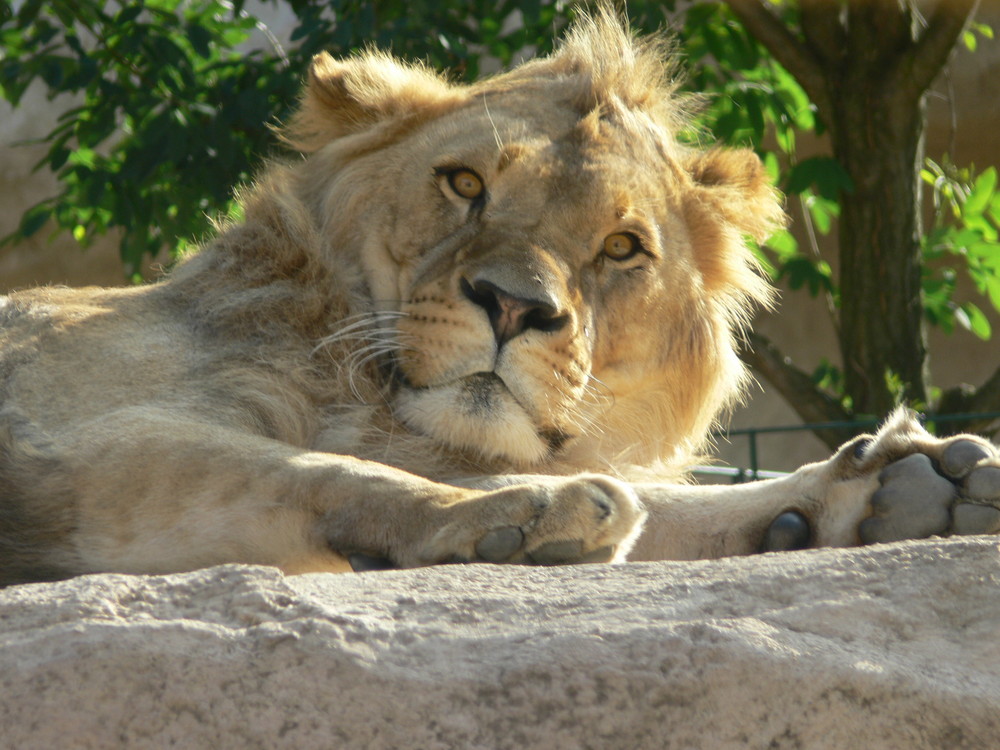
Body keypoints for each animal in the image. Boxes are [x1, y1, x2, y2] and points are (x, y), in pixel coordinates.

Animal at [1, 8, 1000, 592]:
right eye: (465, 184)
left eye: (621, 248)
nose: (516, 307)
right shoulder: (72, 436)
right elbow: (320, 470)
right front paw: (517, 516)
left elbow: (671, 508)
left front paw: (903, 491)